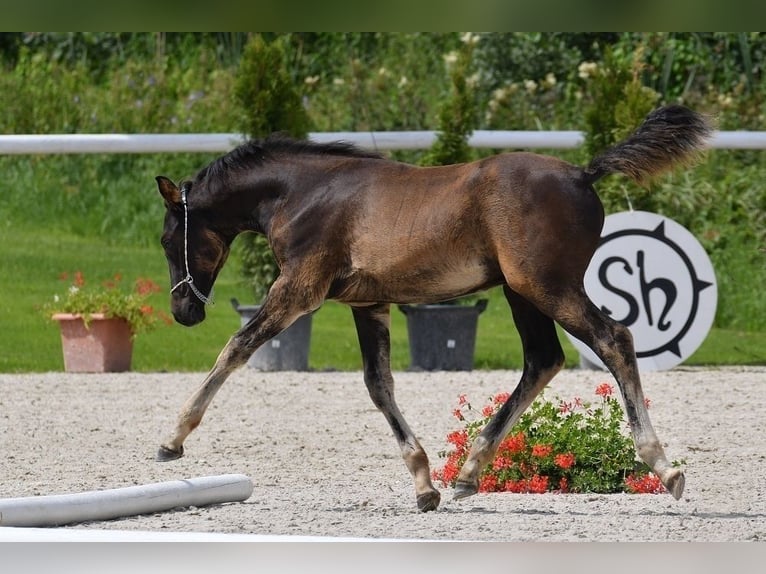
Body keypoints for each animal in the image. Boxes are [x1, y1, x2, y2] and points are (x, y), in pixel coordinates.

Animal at [155, 105, 711, 512]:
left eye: (166, 239)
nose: (183, 310)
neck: (304, 193)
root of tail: (582, 173)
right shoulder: (368, 303)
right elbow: (378, 385)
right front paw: (425, 484)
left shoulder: (298, 289)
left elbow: (237, 347)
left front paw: (172, 440)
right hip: (522, 292)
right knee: (542, 360)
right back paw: (468, 473)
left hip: (547, 287)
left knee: (613, 339)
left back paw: (664, 467)